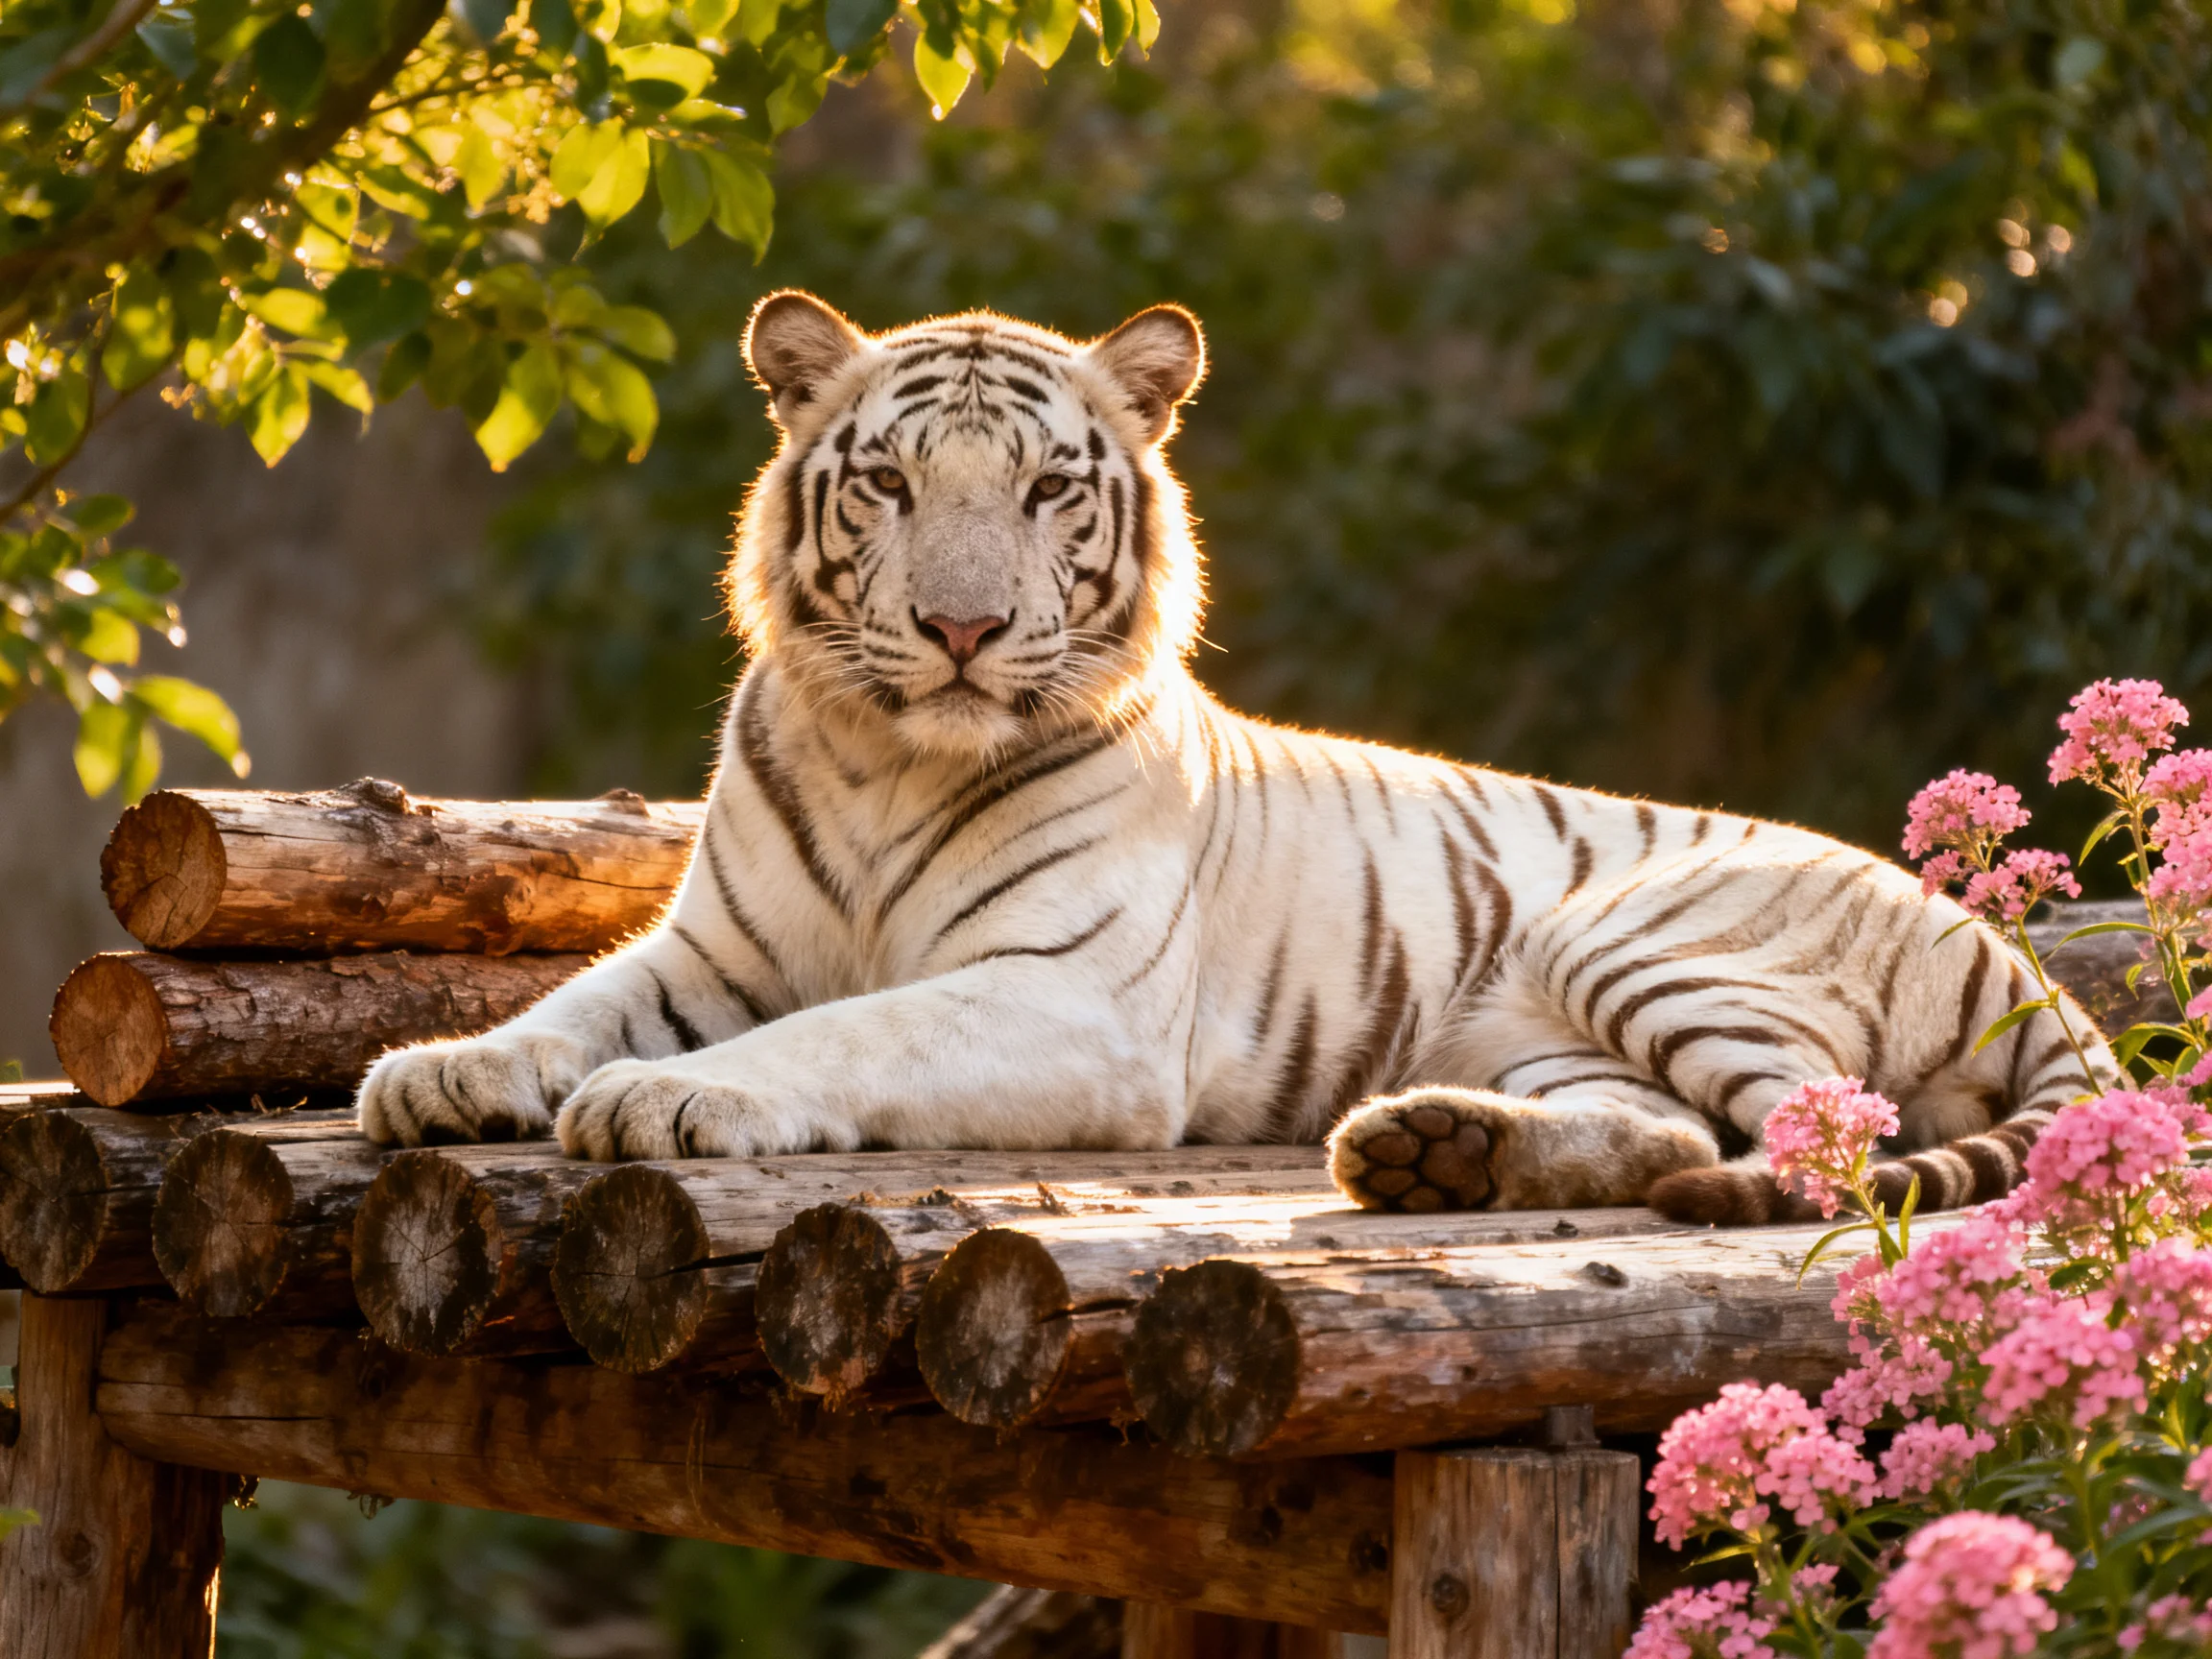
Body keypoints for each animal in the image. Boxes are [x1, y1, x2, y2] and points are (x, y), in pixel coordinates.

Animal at [356, 289, 2116, 1226]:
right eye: (894, 485)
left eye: (1048, 490)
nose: (961, 628)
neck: (887, 760)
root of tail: (1994, 940)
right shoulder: (713, 946)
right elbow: (573, 1004)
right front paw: (447, 1068)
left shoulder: (1066, 999)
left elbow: (849, 1030)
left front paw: (671, 1097)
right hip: (1549, 1029)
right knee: (1678, 1132)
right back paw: (1429, 1148)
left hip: (1634, 939)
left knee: (1823, 1140)